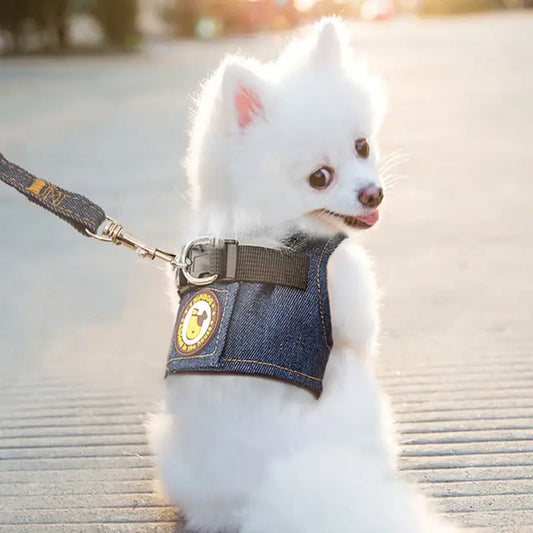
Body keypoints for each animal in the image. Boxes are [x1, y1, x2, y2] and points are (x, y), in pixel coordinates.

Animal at [148, 18, 450, 532]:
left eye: (362, 146)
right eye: (319, 177)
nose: (373, 194)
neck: (267, 228)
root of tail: (267, 480)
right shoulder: (350, 306)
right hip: (361, 398)